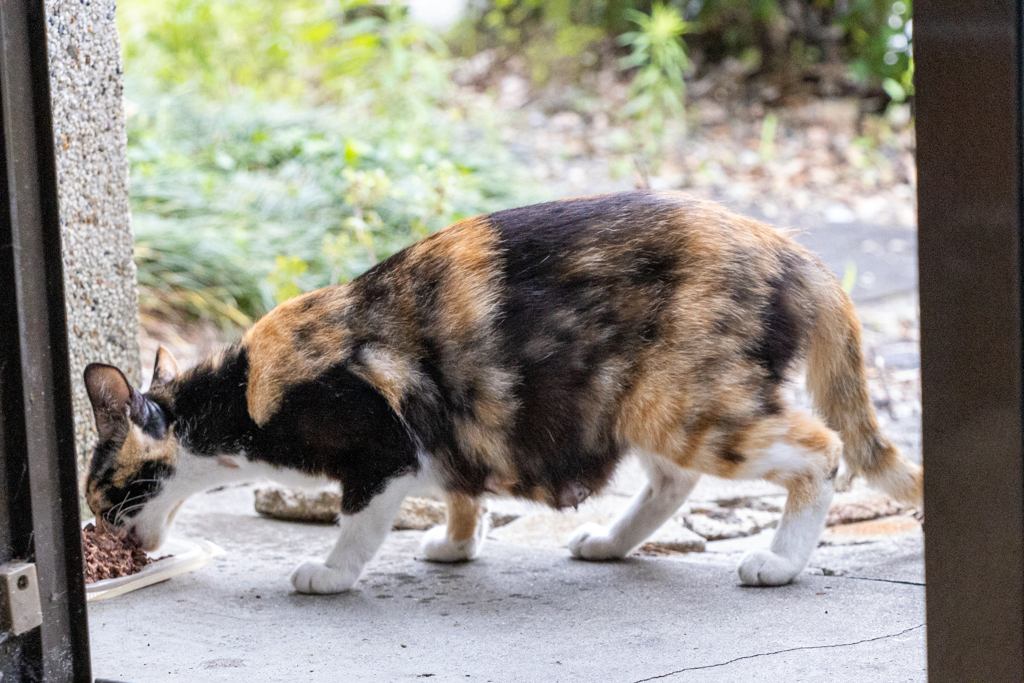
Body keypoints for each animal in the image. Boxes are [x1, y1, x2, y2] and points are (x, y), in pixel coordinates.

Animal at [83, 191, 925, 593]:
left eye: (104, 495)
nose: (103, 535)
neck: (240, 397)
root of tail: (791, 250)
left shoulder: (380, 449)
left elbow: (359, 523)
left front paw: (330, 573)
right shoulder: (451, 428)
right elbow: (464, 491)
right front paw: (457, 545)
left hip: (691, 405)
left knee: (822, 449)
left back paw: (779, 561)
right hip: (651, 403)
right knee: (672, 480)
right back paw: (609, 542)